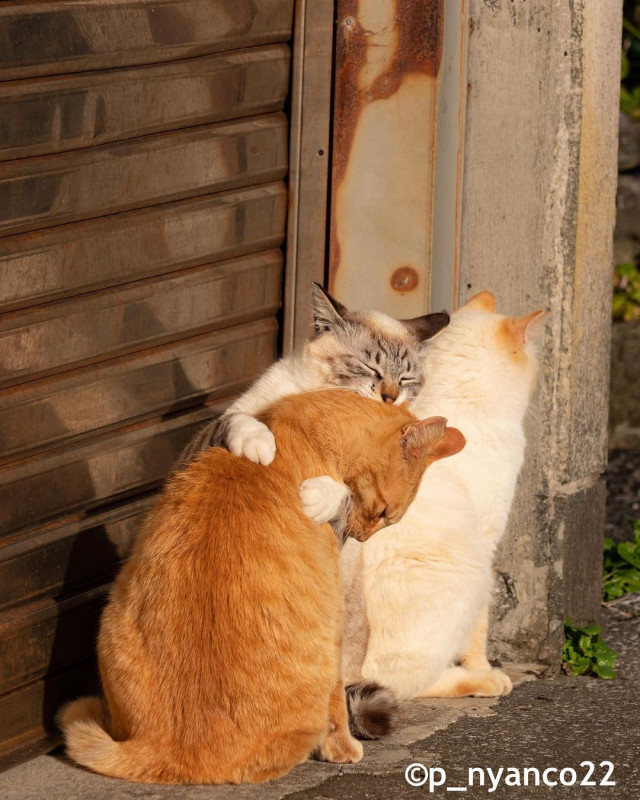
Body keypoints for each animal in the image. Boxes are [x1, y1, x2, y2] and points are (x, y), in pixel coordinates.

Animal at [57, 390, 462, 784]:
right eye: (384, 515)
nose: (362, 537)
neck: (298, 427)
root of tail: (165, 751)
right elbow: (336, 710)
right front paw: (343, 750)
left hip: (112, 617)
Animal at [342, 294, 548, 700]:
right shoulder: (486, 542)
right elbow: (479, 631)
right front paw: (483, 669)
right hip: (467, 572)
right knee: (400, 683)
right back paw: (478, 681)